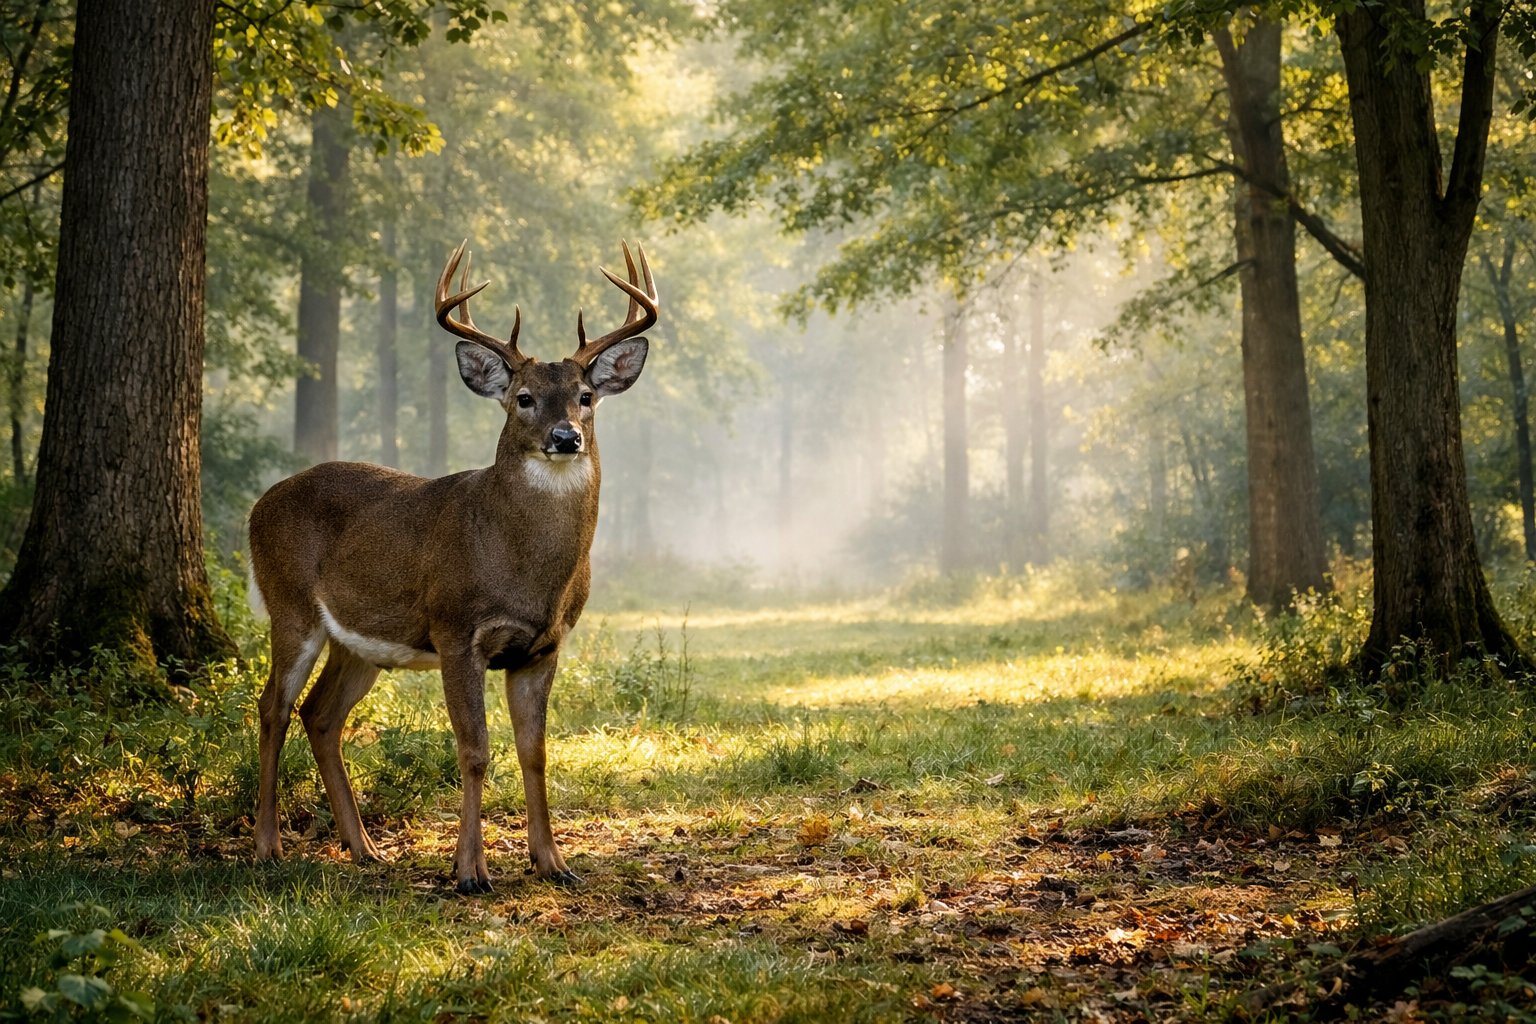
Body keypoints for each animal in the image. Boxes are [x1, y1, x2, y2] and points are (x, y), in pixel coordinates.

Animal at [246, 240, 657, 893]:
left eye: (586, 397)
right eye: (523, 398)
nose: (566, 436)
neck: (525, 570)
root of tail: (258, 505)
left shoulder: (545, 645)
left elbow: (535, 751)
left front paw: (554, 863)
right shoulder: (456, 629)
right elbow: (475, 750)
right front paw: (470, 872)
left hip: (360, 643)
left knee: (320, 714)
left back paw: (365, 848)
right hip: (288, 604)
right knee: (272, 707)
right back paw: (267, 846)